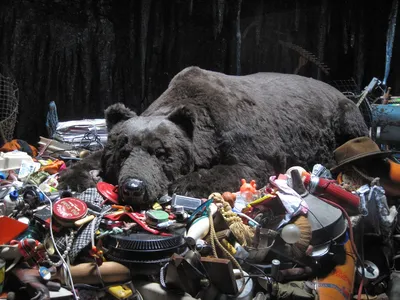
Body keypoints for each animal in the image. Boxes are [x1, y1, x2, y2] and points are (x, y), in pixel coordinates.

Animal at [57, 66, 368, 209]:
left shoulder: (246, 139)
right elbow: (94, 155)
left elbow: (245, 167)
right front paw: (74, 177)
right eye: (122, 153)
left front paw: (184, 183)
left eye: (162, 154)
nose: (134, 186)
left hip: (345, 116)